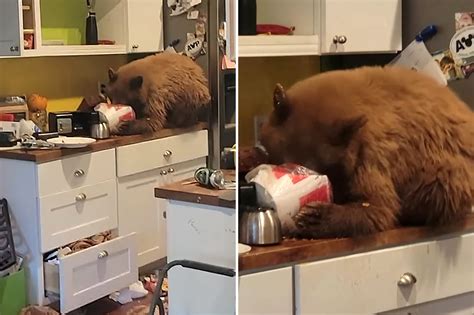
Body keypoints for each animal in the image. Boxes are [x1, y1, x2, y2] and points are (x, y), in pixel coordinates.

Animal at [260, 66, 474, 239]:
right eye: (285, 163)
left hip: (445, 171)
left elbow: (377, 208)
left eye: (318, 167)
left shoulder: (371, 155)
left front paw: (313, 216)